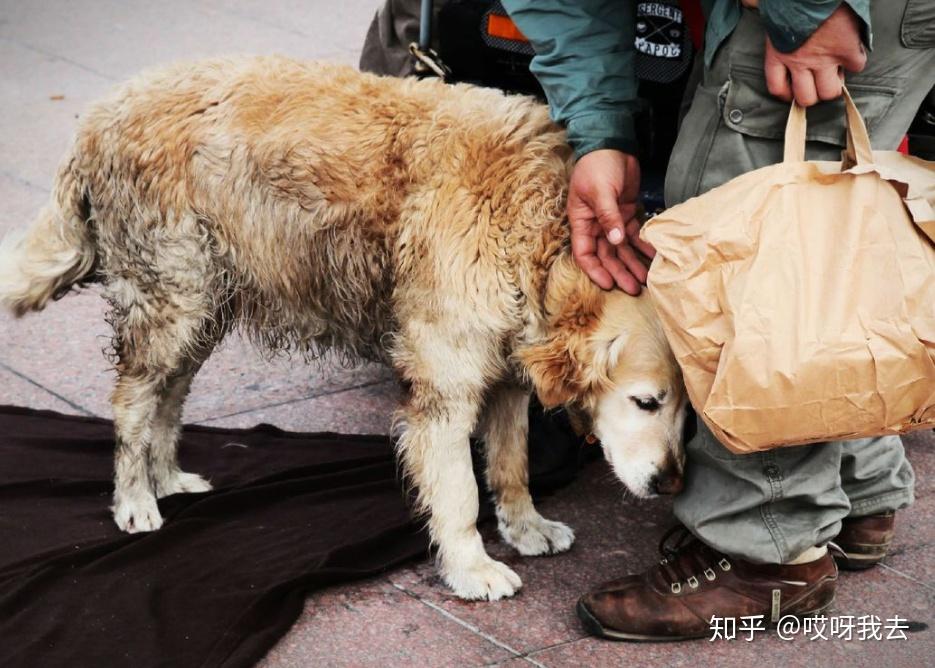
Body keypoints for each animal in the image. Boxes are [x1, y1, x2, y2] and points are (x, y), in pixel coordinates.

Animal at [0, 58, 688, 600]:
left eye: (686, 412)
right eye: (646, 402)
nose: (671, 483)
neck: (535, 226)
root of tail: (100, 112)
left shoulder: (507, 372)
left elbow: (511, 462)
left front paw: (525, 526)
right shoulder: (446, 386)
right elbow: (459, 492)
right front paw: (472, 567)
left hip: (204, 305)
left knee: (170, 396)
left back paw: (166, 479)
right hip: (171, 298)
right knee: (133, 403)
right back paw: (135, 500)